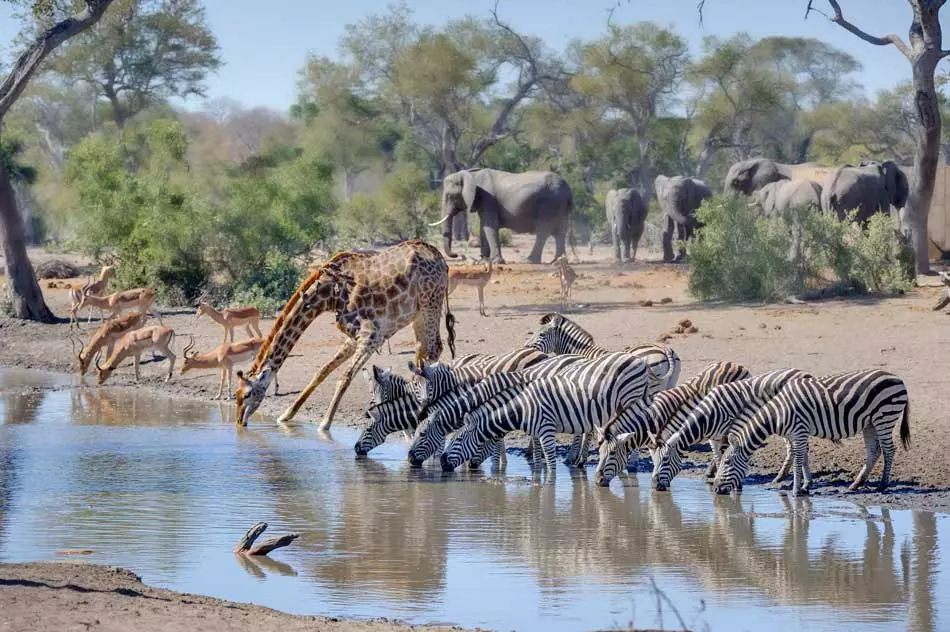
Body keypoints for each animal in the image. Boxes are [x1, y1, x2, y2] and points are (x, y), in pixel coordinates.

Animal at [234, 241, 458, 430]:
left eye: (247, 394)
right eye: (235, 395)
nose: (238, 421)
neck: (328, 296)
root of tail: (441, 259)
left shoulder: (372, 335)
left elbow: (345, 377)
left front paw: (325, 423)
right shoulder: (353, 337)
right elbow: (322, 371)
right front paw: (286, 415)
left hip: (430, 301)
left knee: (432, 348)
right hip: (418, 311)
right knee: (424, 349)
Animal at [432, 167, 572, 262]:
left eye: (451, 196)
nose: (457, 255)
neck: (471, 174)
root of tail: (567, 188)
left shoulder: (488, 199)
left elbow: (489, 226)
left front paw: (495, 262)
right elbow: (484, 227)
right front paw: (482, 261)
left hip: (549, 204)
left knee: (543, 231)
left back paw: (530, 260)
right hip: (560, 206)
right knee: (560, 232)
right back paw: (557, 261)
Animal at [440, 350, 656, 474]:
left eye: (458, 439)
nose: (441, 463)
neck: (523, 408)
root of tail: (638, 359)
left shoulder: (546, 430)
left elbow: (551, 466)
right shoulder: (535, 432)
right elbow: (537, 459)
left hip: (631, 398)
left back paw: (630, 464)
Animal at [592, 358, 756, 486]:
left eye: (612, 453)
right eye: (599, 452)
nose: (597, 481)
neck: (652, 418)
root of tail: (736, 364)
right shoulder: (654, 442)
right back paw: (711, 471)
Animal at [712, 368, 916, 496]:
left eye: (727, 462)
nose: (715, 489)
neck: (778, 413)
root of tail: (898, 379)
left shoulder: (799, 430)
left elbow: (798, 458)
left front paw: (796, 490)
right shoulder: (797, 434)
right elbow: (802, 456)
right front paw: (806, 485)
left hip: (885, 416)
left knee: (889, 450)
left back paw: (882, 485)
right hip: (870, 423)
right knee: (874, 451)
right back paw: (855, 485)